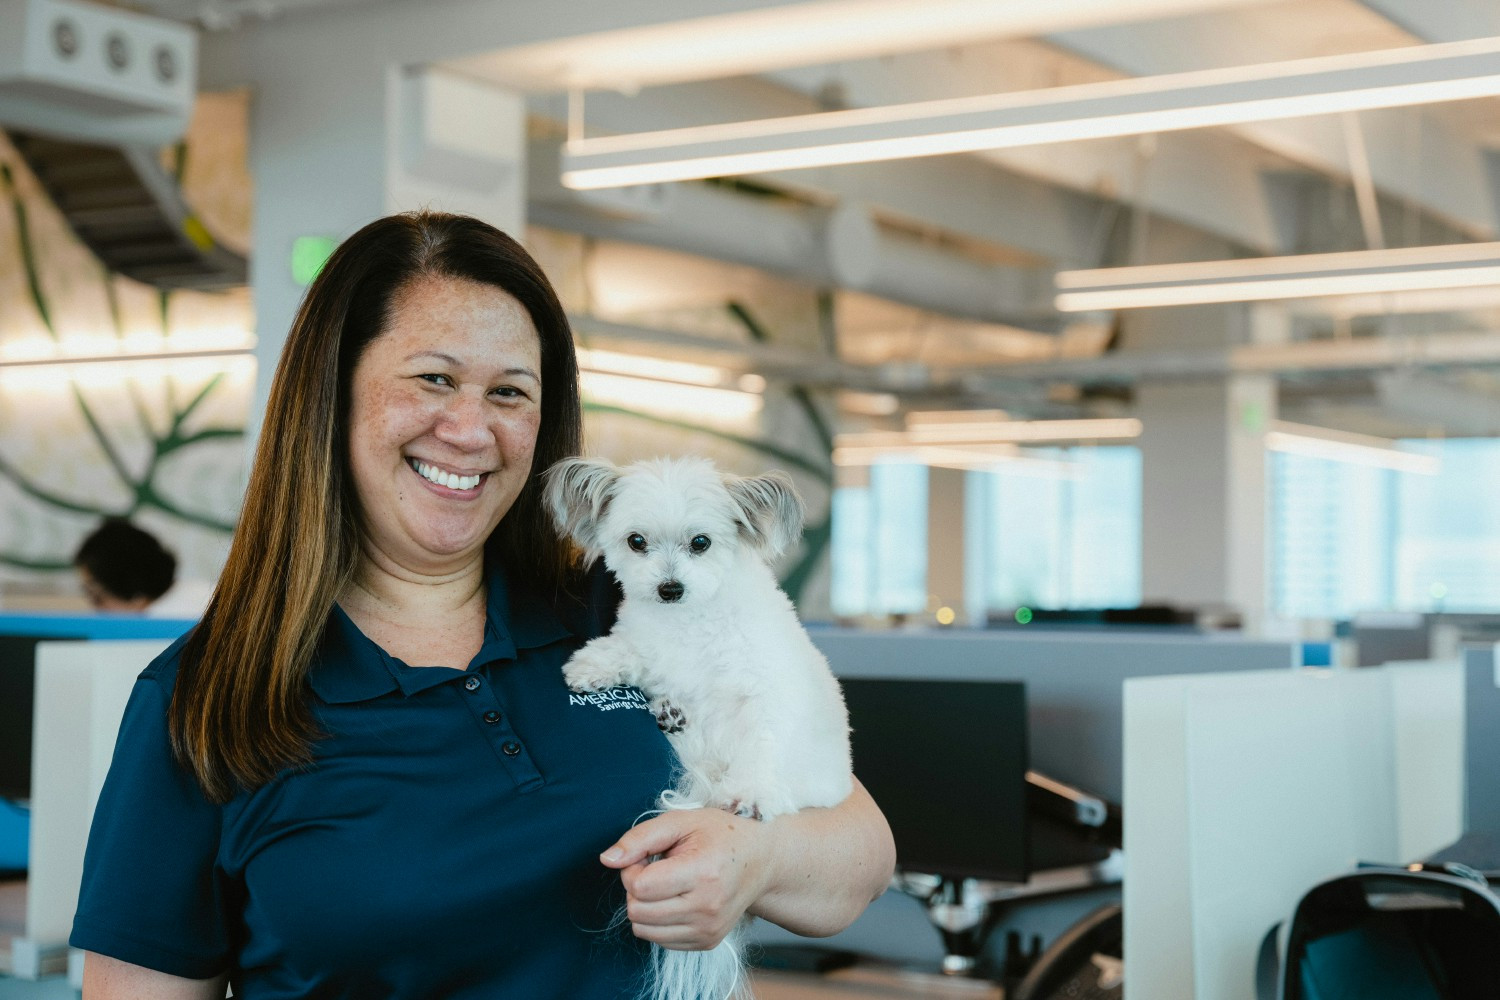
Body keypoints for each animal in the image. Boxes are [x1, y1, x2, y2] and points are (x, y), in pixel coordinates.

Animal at [549, 455, 858, 1000]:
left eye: (701, 542)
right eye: (636, 541)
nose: (669, 588)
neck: (689, 623)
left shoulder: (764, 694)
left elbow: (761, 743)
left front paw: (750, 794)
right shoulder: (650, 645)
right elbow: (632, 650)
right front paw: (593, 665)